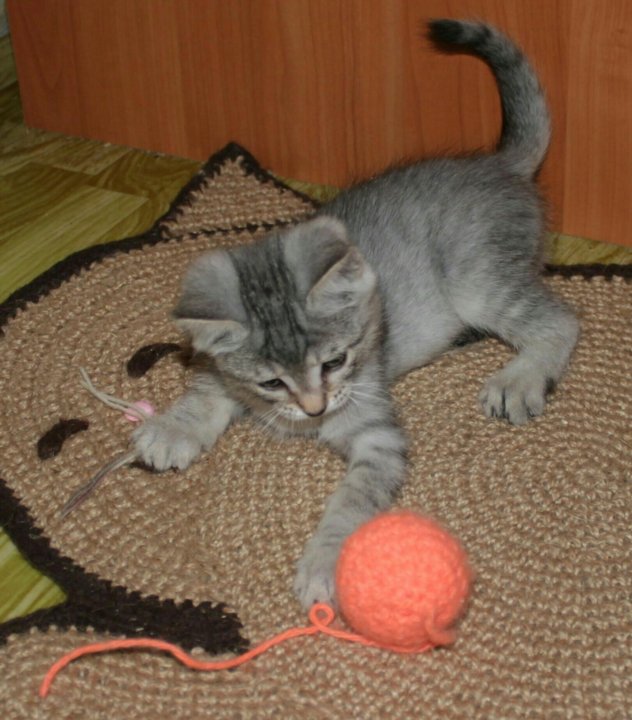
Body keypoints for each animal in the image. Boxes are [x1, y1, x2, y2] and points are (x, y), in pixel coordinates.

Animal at [133, 19, 579, 609]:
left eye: (335, 362)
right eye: (272, 382)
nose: (316, 409)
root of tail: (498, 164)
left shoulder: (378, 436)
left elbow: (351, 503)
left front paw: (326, 561)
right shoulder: (229, 369)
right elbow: (208, 387)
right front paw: (172, 427)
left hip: (477, 283)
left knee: (561, 320)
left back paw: (521, 378)